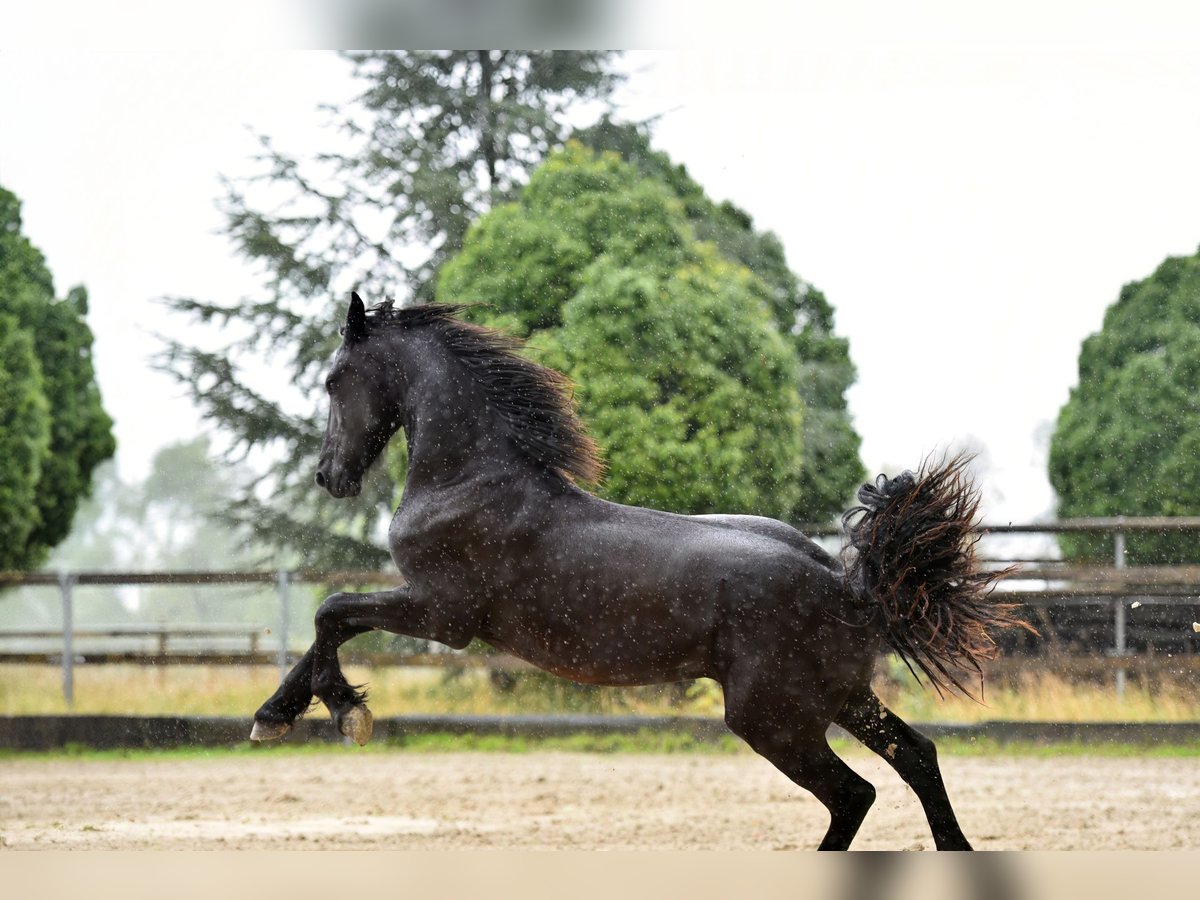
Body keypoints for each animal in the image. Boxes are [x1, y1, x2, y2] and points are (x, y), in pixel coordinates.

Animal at [253, 296, 1032, 854]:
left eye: (333, 380)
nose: (329, 477)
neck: (471, 480)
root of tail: (853, 586)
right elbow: (325, 626)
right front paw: (283, 715)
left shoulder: (442, 614)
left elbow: (331, 611)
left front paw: (332, 713)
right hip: (839, 697)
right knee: (917, 757)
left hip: (772, 717)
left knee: (854, 794)